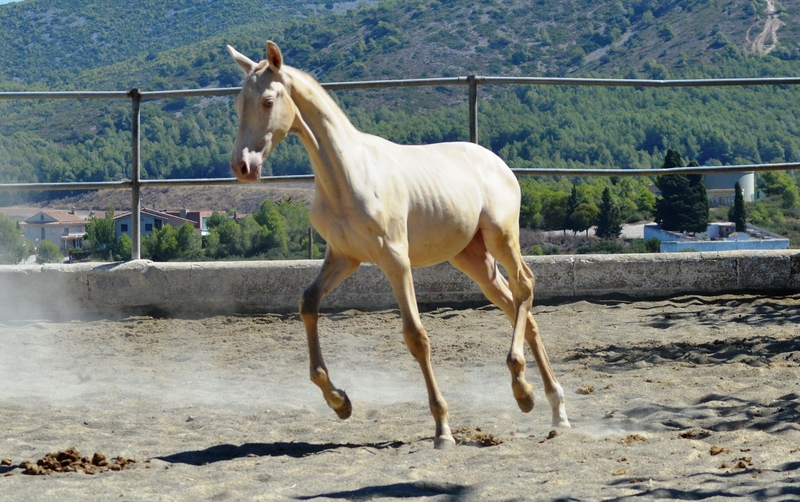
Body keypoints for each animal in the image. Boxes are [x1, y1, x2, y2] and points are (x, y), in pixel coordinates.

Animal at [227, 41, 570, 449]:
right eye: (238, 103)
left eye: (267, 101)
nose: (242, 167)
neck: (348, 175)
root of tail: (497, 162)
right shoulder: (344, 257)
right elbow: (308, 304)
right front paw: (340, 402)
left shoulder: (395, 260)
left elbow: (416, 336)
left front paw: (442, 430)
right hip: (471, 257)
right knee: (518, 306)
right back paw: (543, 402)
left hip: (500, 237)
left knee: (525, 286)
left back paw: (534, 395)